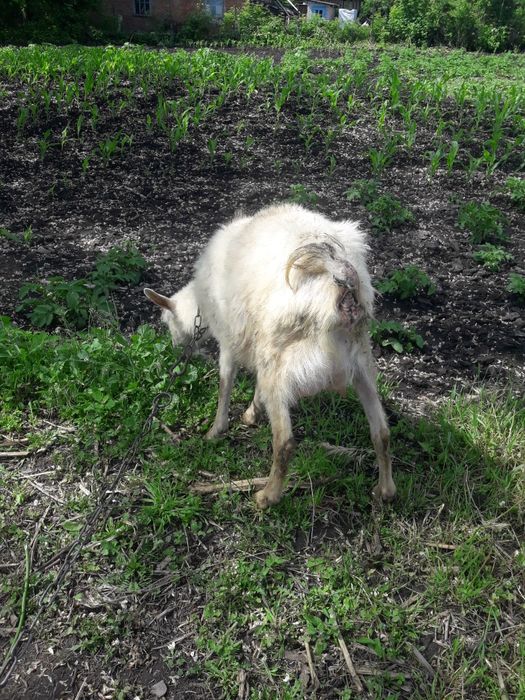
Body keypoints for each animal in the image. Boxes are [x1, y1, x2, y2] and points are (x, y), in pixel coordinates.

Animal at [144, 203, 396, 509]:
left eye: (168, 323)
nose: (176, 349)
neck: (200, 308)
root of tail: (340, 278)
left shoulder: (230, 338)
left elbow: (225, 381)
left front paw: (216, 430)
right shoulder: (256, 341)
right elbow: (255, 385)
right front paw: (252, 413)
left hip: (282, 360)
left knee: (285, 442)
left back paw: (267, 496)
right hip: (359, 360)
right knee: (382, 432)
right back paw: (385, 491)